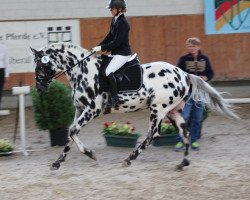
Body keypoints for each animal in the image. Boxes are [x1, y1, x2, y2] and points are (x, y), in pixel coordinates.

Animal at [30, 43, 238, 170]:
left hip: (158, 109)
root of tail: (184, 74)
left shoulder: (92, 110)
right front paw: (57, 162)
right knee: (185, 133)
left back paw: (129, 159)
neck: (83, 71)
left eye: (41, 66)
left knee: (153, 134)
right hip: (172, 111)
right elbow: (70, 134)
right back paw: (183, 163)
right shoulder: (80, 110)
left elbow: (73, 131)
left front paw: (91, 154)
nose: (40, 87)